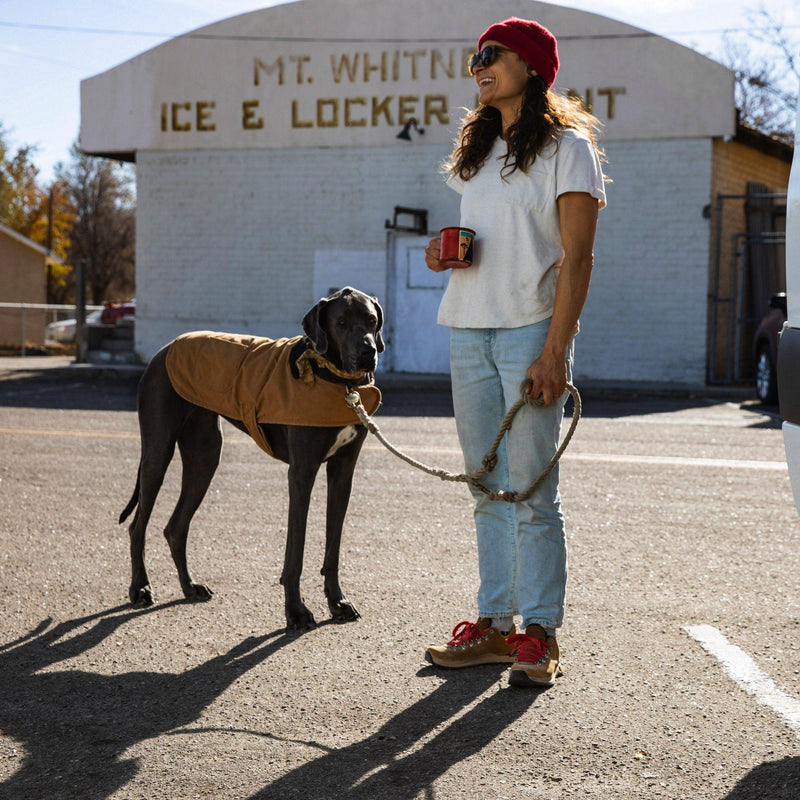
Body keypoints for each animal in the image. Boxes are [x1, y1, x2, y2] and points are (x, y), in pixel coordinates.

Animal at [119, 288, 384, 632]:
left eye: (371, 320)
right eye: (340, 323)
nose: (368, 353)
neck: (336, 380)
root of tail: (163, 350)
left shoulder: (343, 472)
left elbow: (333, 547)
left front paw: (337, 602)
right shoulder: (302, 473)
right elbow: (295, 552)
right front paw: (296, 611)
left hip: (205, 457)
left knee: (175, 527)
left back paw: (189, 586)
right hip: (157, 451)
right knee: (138, 525)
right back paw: (140, 588)